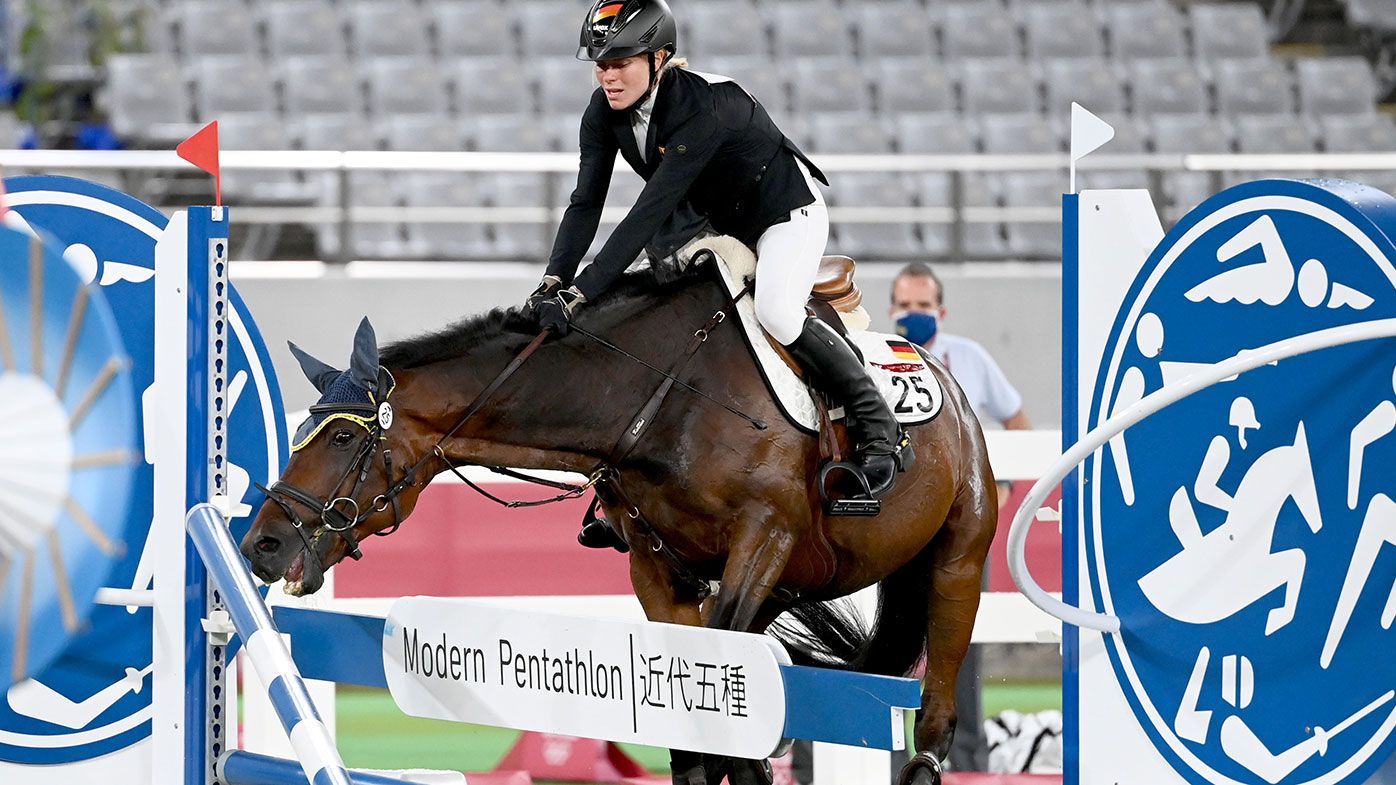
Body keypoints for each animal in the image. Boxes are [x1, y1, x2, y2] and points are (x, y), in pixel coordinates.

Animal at [242, 258, 1005, 782]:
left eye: (345, 438)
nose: (262, 545)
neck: (656, 401)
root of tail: (939, 371)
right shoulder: (657, 568)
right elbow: (694, 729)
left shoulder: (764, 537)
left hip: (956, 560)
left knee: (935, 720)